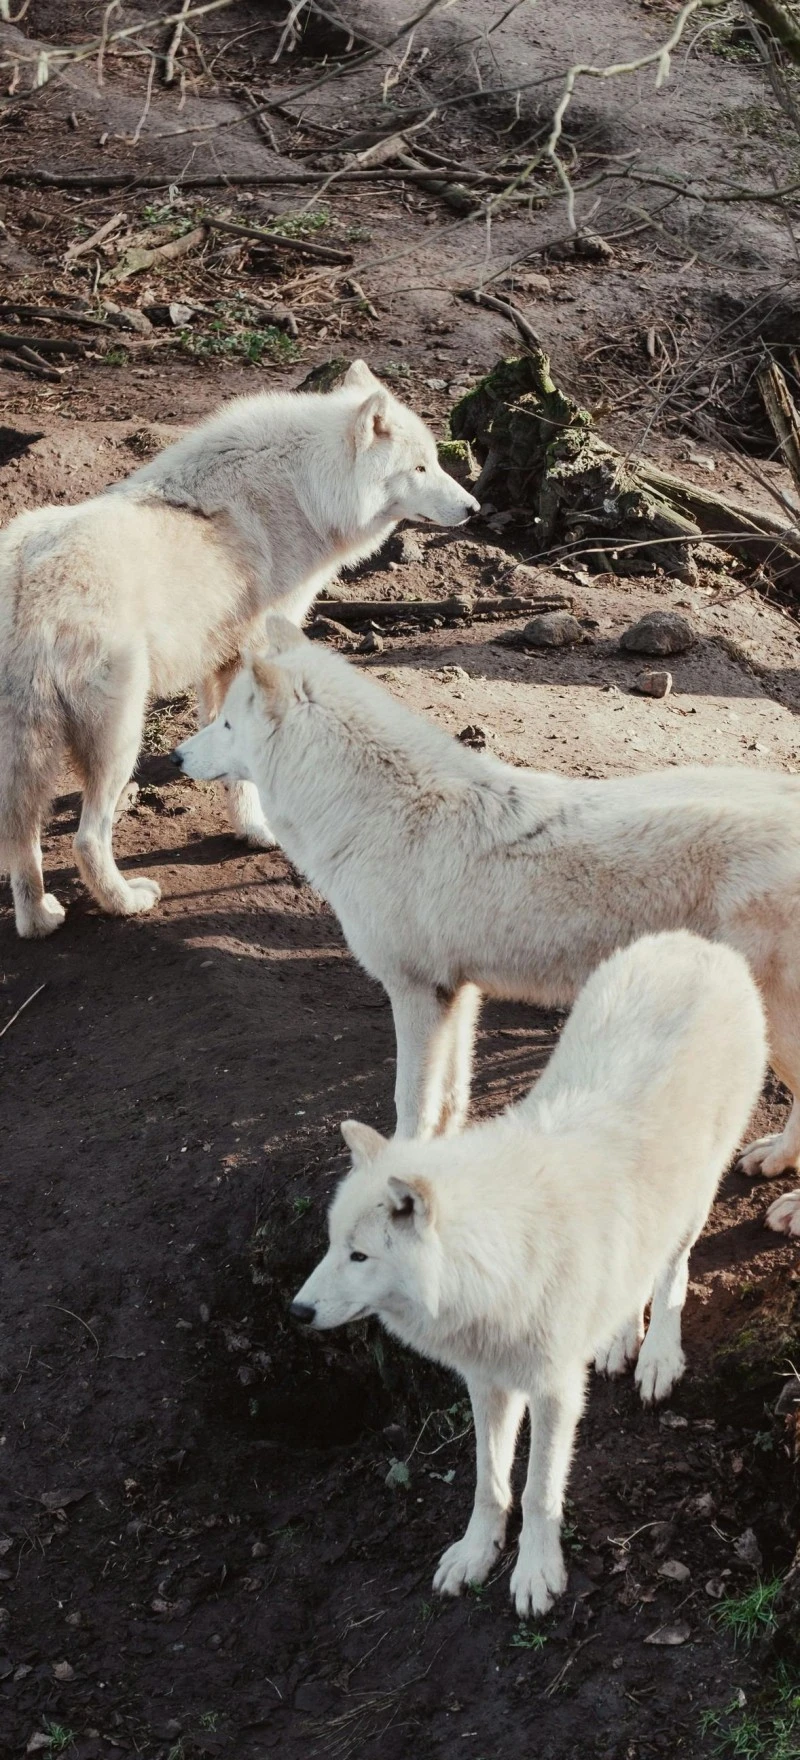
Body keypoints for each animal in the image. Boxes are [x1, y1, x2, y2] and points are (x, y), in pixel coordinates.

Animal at [0, 361, 477, 939]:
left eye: (435, 462)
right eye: (421, 467)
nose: (474, 507)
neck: (304, 494)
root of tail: (29, 577)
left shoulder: (219, 665)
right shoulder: (249, 655)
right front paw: (257, 829)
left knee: (20, 837)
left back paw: (38, 920)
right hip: (120, 735)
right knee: (87, 838)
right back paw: (126, 902)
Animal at [173, 618, 800, 1231]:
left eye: (226, 724)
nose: (178, 756)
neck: (377, 814)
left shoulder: (414, 993)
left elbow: (411, 1103)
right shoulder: (458, 993)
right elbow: (451, 1098)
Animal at [290, 932, 767, 1618]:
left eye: (360, 1256)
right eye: (332, 1246)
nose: (297, 1311)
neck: (495, 1264)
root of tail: (696, 943)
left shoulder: (554, 1390)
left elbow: (539, 1492)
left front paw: (537, 1573)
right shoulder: (487, 1382)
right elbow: (489, 1483)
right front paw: (475, 1554)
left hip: (695, 1195)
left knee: (671, 1271)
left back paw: (656, 1356)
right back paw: (618, 1338)